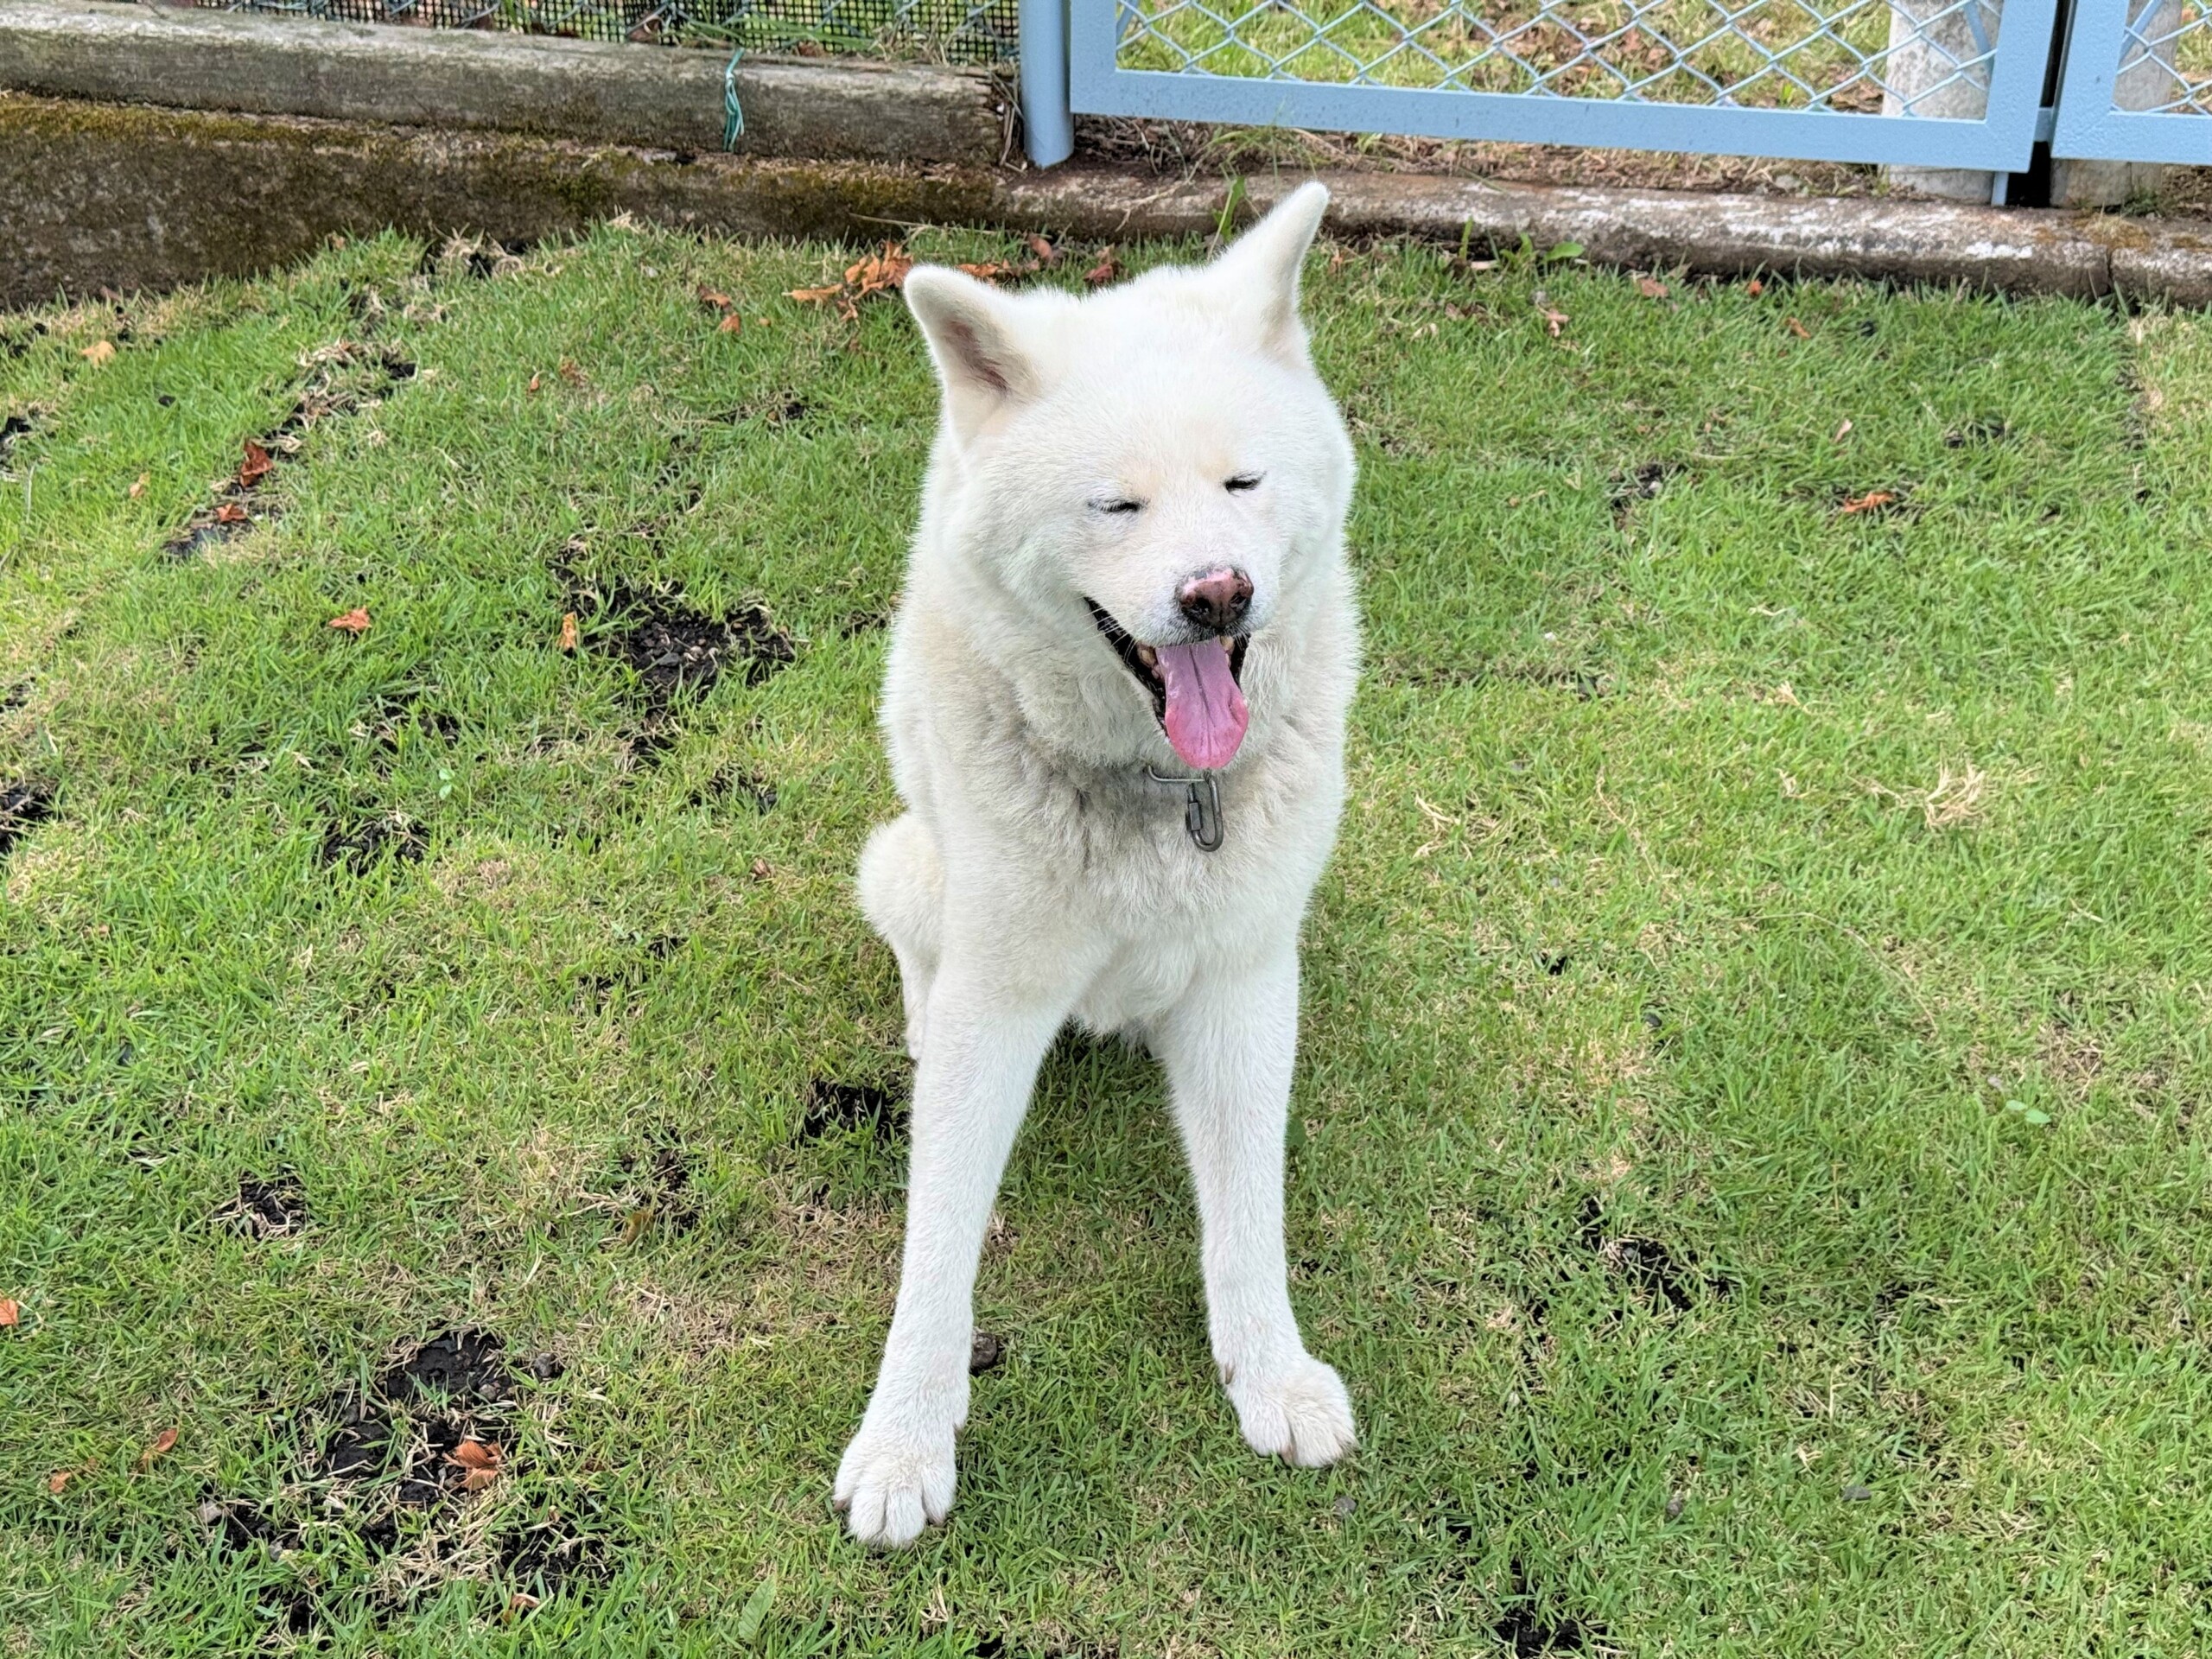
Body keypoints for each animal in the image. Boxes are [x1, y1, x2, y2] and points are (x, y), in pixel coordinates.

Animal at [836, 188, 1353, 1557]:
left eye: (1242, 481)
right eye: (1116, 507)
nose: (1218, 594)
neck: (1162, 792)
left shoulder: (1243, 984)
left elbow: (1249, 1213)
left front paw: (1269, 1374)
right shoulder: (999, 999)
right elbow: (935, 1241)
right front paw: (905, 1439)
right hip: (904, 869)